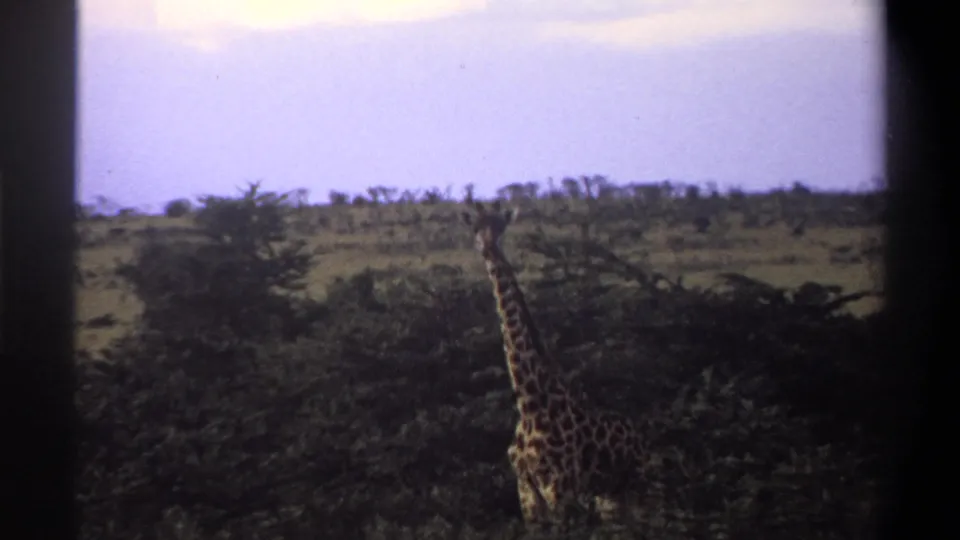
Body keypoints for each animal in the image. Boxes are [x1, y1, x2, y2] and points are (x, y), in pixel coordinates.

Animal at [461, 200, 651, 529]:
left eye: (500, 227)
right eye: (475, 227)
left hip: (637, 487)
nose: (487, 249)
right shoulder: (527, 493)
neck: (530, 403)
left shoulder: (559, 489)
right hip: (608, 499)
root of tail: (638, 436)